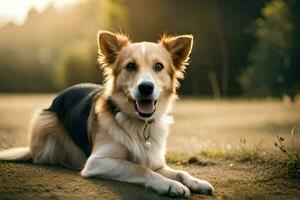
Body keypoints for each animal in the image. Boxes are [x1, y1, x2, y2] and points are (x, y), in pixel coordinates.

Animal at [0, 30, 213, 197]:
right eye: (130, 66)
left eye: (159, 66)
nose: (145, 87)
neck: (138, 123)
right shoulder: (97, 161)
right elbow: (140, 168)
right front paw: (169, 185)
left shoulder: (156, 162)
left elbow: (179, 172)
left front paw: (195, 182)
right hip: (45, 128)